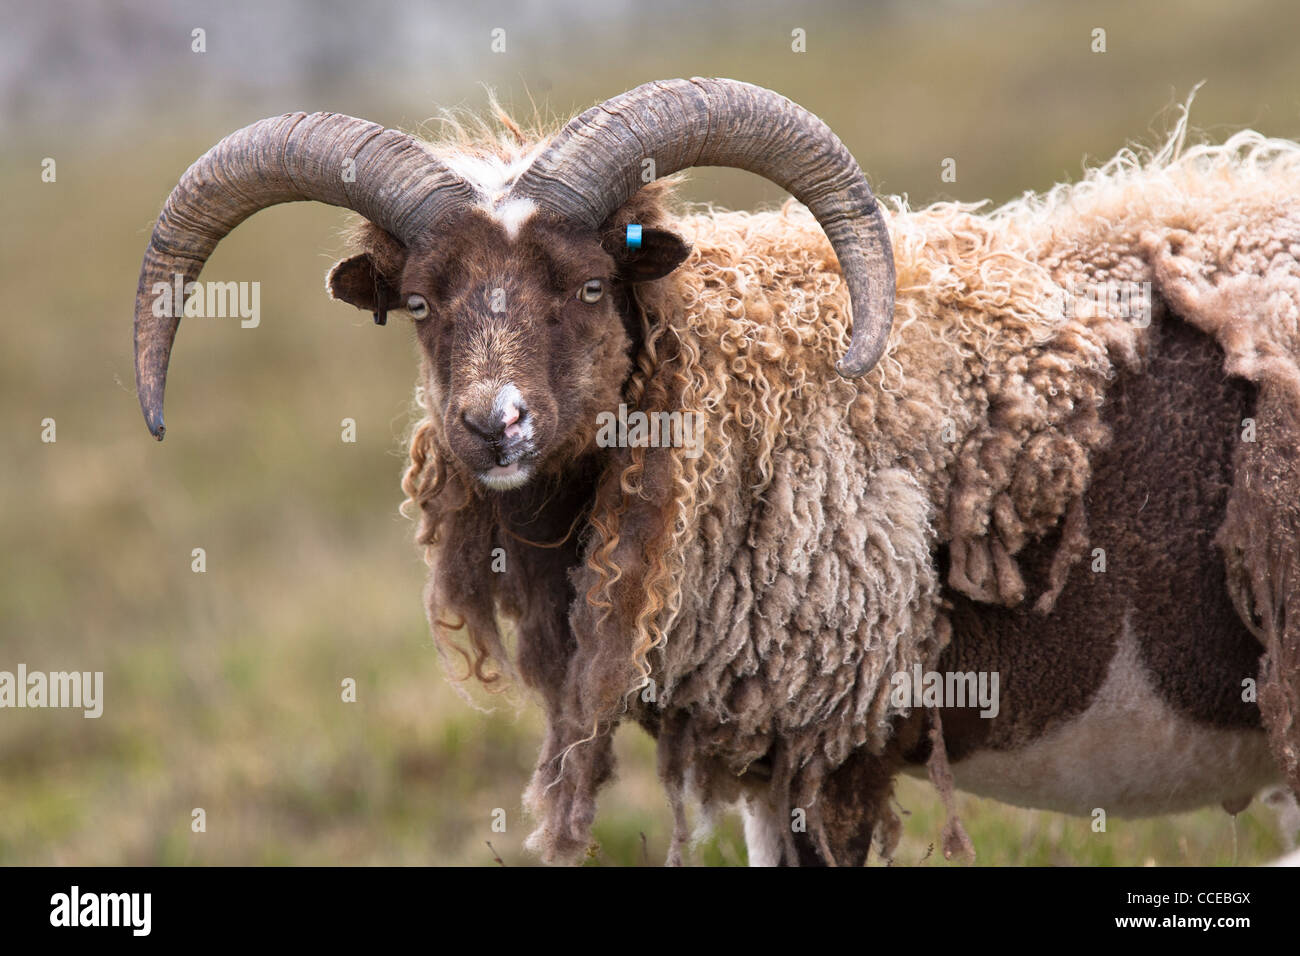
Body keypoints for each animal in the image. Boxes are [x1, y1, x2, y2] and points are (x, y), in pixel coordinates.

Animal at [131, 76, 1300, 868]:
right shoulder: (763, 765)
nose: (492, 425)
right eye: (421, 302)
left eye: (591, 286)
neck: (737, 381)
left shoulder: (826, 739)